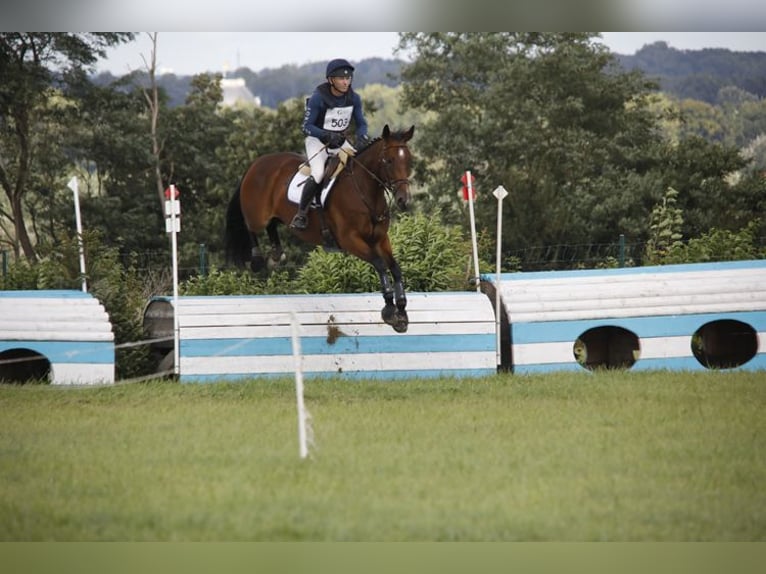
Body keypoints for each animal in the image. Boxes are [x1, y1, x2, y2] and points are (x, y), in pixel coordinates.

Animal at [225, 125, 416, 332]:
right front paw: (389, 310)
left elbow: (395, 268)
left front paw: (401, 311)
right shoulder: (351, 240)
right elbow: (380, 264)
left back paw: (276, 254)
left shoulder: (380, 239)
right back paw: (258, 260)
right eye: (388, 161)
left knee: (272, 225)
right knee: (251, 226)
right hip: (258, 215)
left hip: (275, 214)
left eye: (409, 160)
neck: (365, 192)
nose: (403, 200)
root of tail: (256, 163)